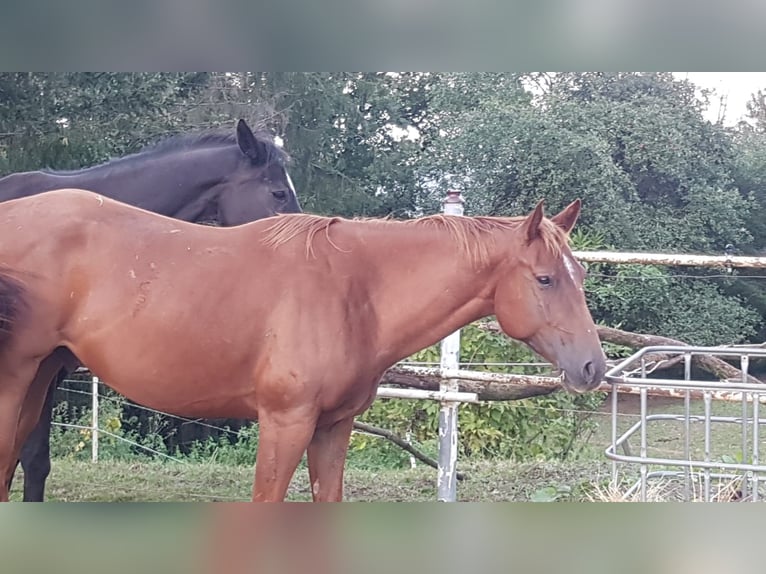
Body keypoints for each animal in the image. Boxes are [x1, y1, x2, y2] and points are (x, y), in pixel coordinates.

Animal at [0, 190, 608, 504]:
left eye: (578, 274)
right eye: (545, 279)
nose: (592, 367)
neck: (355, 290)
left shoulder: (332, 429)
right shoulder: (285, 423)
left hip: (39, 379)